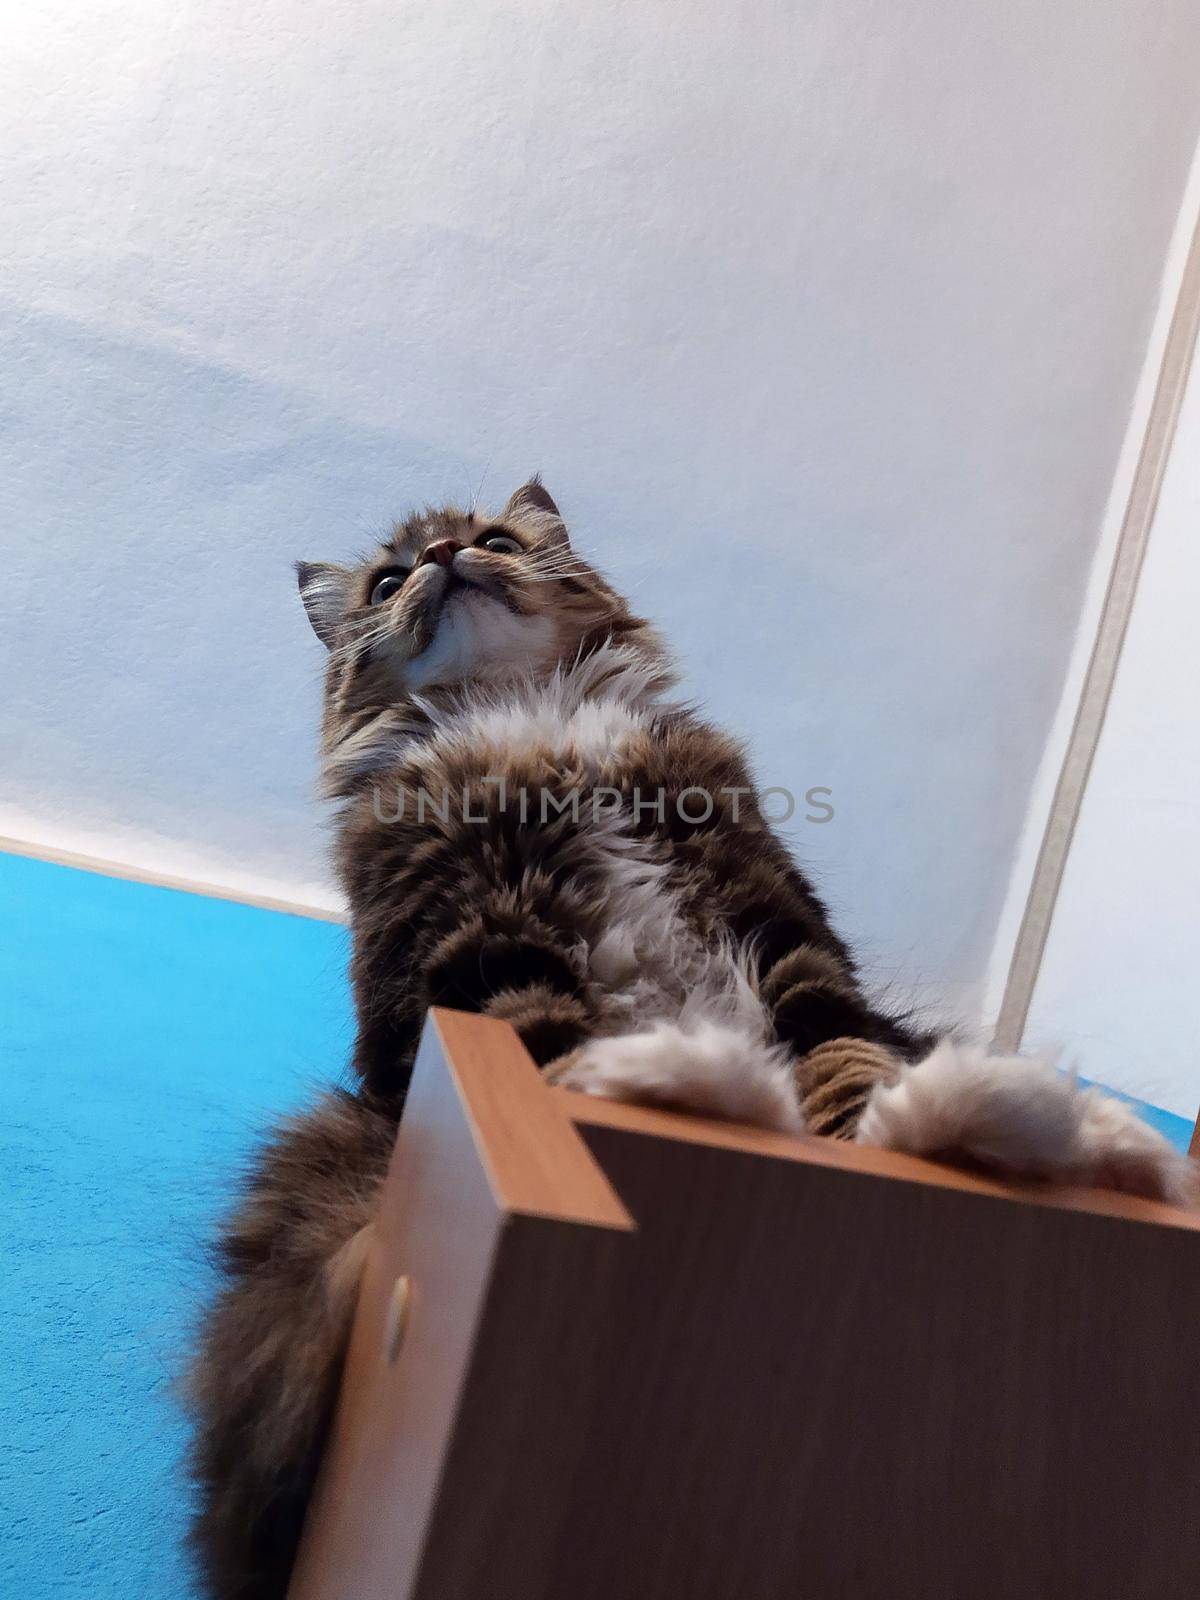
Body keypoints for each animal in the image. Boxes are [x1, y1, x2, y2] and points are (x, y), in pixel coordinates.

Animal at [188, 476, 1196, 1600]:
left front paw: (867, 1133)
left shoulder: (784, 933)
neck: (532, 720)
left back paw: (1044, 1128)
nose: (447, 555)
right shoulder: (475, 961)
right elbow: (551, 1054)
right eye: (390, 579)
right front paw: (644, 1081)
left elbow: (842, 1064)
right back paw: (698, 1080)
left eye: (494, 540)